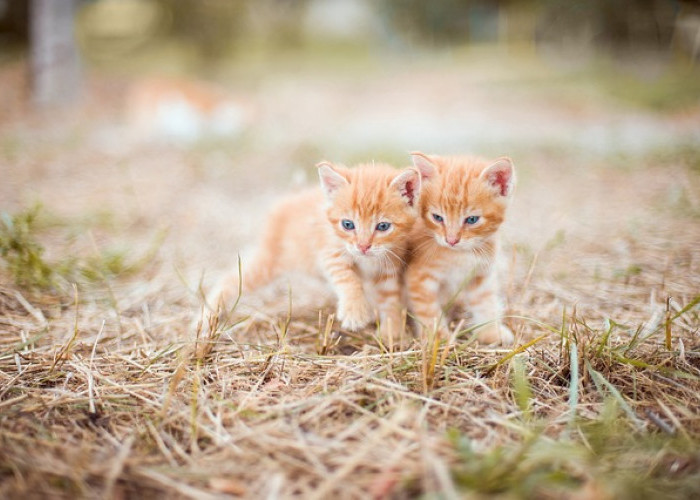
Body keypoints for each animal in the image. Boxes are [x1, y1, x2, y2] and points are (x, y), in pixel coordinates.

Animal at [216, 162, 418, 342]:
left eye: (383, 226)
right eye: (348, 224)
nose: (363, 246)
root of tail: (294, 195)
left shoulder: (388, 267)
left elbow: (391, 298)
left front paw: (392, 330)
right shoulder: (331, 254)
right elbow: (348, 279)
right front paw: (355, 312)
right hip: (268, 261)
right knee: (230, 280)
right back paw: (211, 314)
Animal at [404, 152, 516, 346]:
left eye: (471, 220)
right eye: (437, 217)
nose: (451, 240)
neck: (459, 255)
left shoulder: (481, 275)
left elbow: (485, 303)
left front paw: (491, 331)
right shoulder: (419, 278)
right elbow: (428, 310)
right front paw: (438, 338)